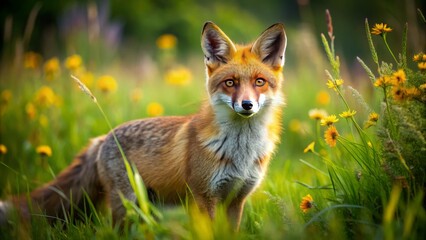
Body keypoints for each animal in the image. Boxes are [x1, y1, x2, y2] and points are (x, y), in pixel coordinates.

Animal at [0, 21, 288, 230]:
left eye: (260, 82)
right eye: (230, 83)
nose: (247, 105)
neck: (240, 151)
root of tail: (103, 138)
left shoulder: (236, 199)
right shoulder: (204, 197)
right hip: (128, 206)